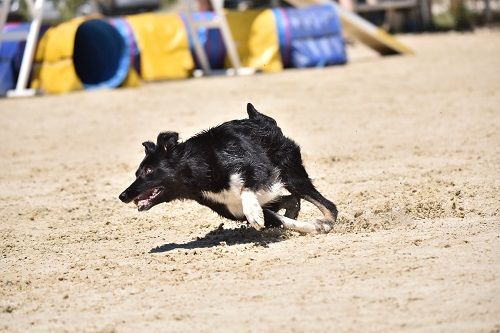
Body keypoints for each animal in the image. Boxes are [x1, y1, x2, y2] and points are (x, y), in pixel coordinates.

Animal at [118, 102, 336, 232]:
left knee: (329, 206)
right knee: (293, 200)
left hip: (292, 174)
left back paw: (326, 221)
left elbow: (246, 189)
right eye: (136, 173)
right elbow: (281, 219)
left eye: (148, 171)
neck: (198, 167)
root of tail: (258, 119)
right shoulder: (233, 209)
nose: (123, 195)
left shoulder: (260, 169)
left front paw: (254, 214)